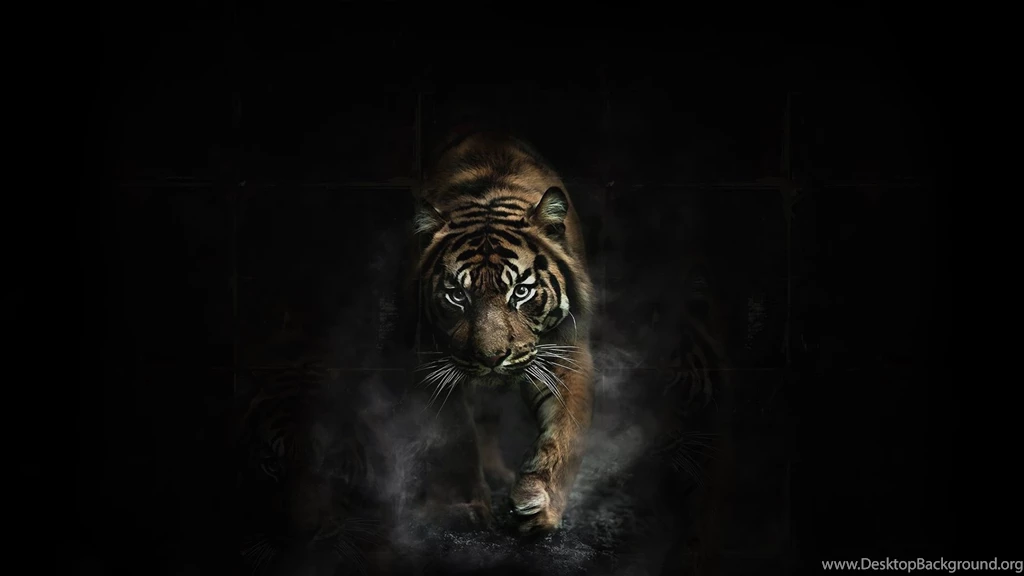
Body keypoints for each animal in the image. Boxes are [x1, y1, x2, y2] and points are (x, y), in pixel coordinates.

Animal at [407, 128, 595, 535]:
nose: (491, 358)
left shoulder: (566, 352)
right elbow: (457, 436)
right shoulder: (432, 362)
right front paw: (466, 505)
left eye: (520, 291)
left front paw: (540, 503)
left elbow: (564, 433)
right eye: (457, 295)